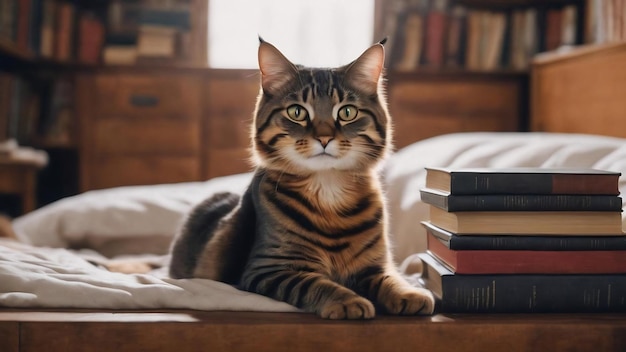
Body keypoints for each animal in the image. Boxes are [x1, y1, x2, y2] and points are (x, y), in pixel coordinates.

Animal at [171, 38, 434, 320]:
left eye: (347, 112)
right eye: (297, 112)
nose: (324, 138)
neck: (328, 188)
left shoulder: (373, 265)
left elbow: (390, 278)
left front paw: (409, 293)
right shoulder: (268, 269)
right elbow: (315, 283)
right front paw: (348, 300)